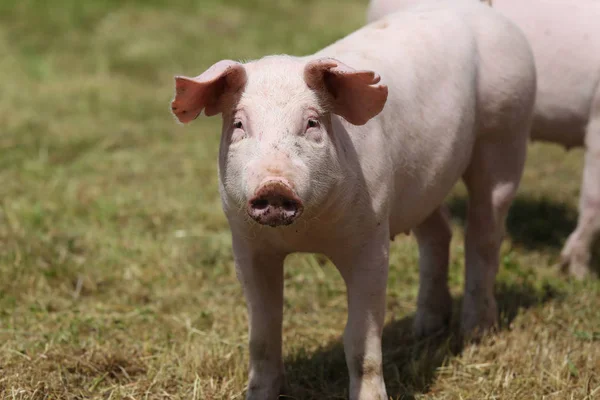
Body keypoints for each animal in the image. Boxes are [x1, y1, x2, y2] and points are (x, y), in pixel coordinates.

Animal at [171, 1, 536, 398]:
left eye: (312, 123)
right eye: (239, 125)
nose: (274, 186)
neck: (306, 235)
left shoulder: (371, 241)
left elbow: (360, 344)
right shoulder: (248, 245)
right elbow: (262, 339)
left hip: (506, 132)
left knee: (484, 232)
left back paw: (475, 331)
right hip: (424, 180)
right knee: (439, 232)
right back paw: (425, 327)